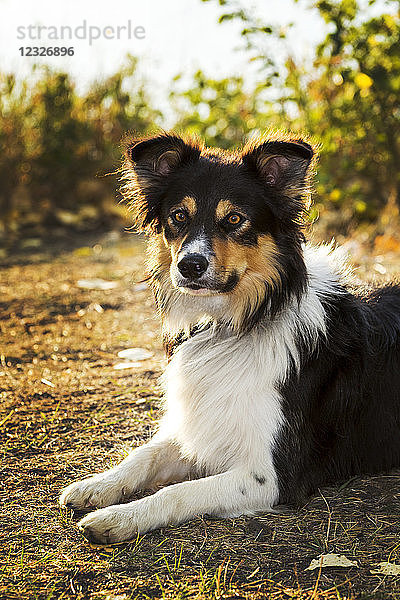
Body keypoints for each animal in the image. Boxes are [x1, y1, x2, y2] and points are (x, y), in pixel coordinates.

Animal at [58, 131, 400, 544]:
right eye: (178, 216)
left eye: (235, 219)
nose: (189, 265)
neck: (235, 321)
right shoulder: (206, 420)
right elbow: (145, 454)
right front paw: (97, 485)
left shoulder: (270, 475)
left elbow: (179, 491)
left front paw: (121, 517)